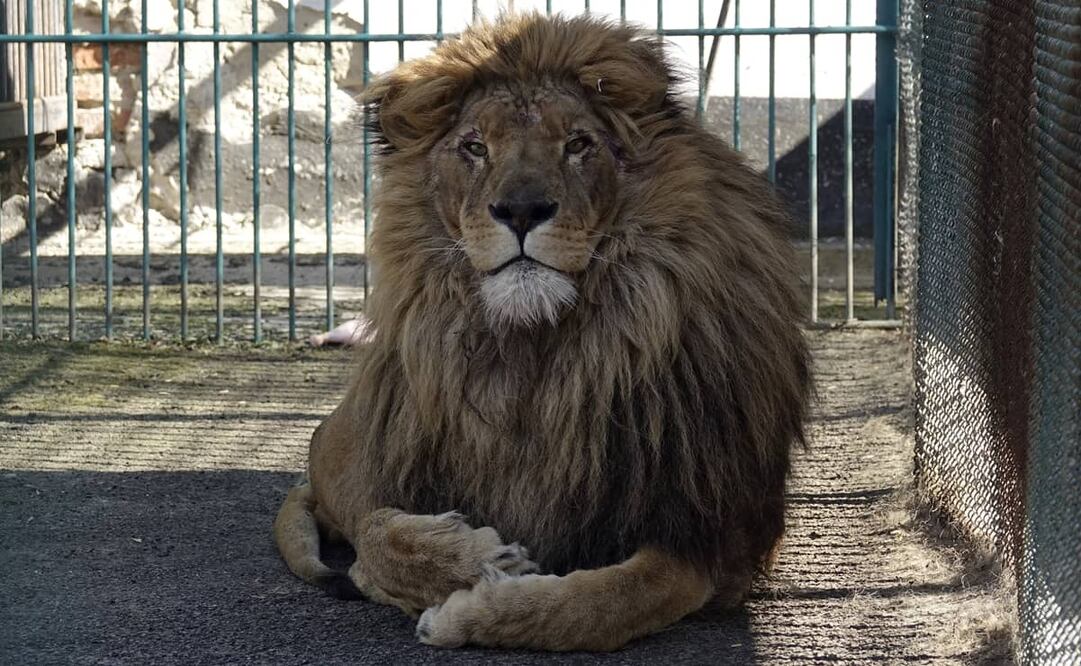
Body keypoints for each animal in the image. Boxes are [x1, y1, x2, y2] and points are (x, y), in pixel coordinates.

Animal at [274, 13, 811, 652]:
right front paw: (479, 561)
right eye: (474, 147)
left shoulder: (709, 535)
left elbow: (596, 604)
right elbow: (377, 536)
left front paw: (467, 613)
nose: (522, 210)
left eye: (578, 144)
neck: (541, 352)